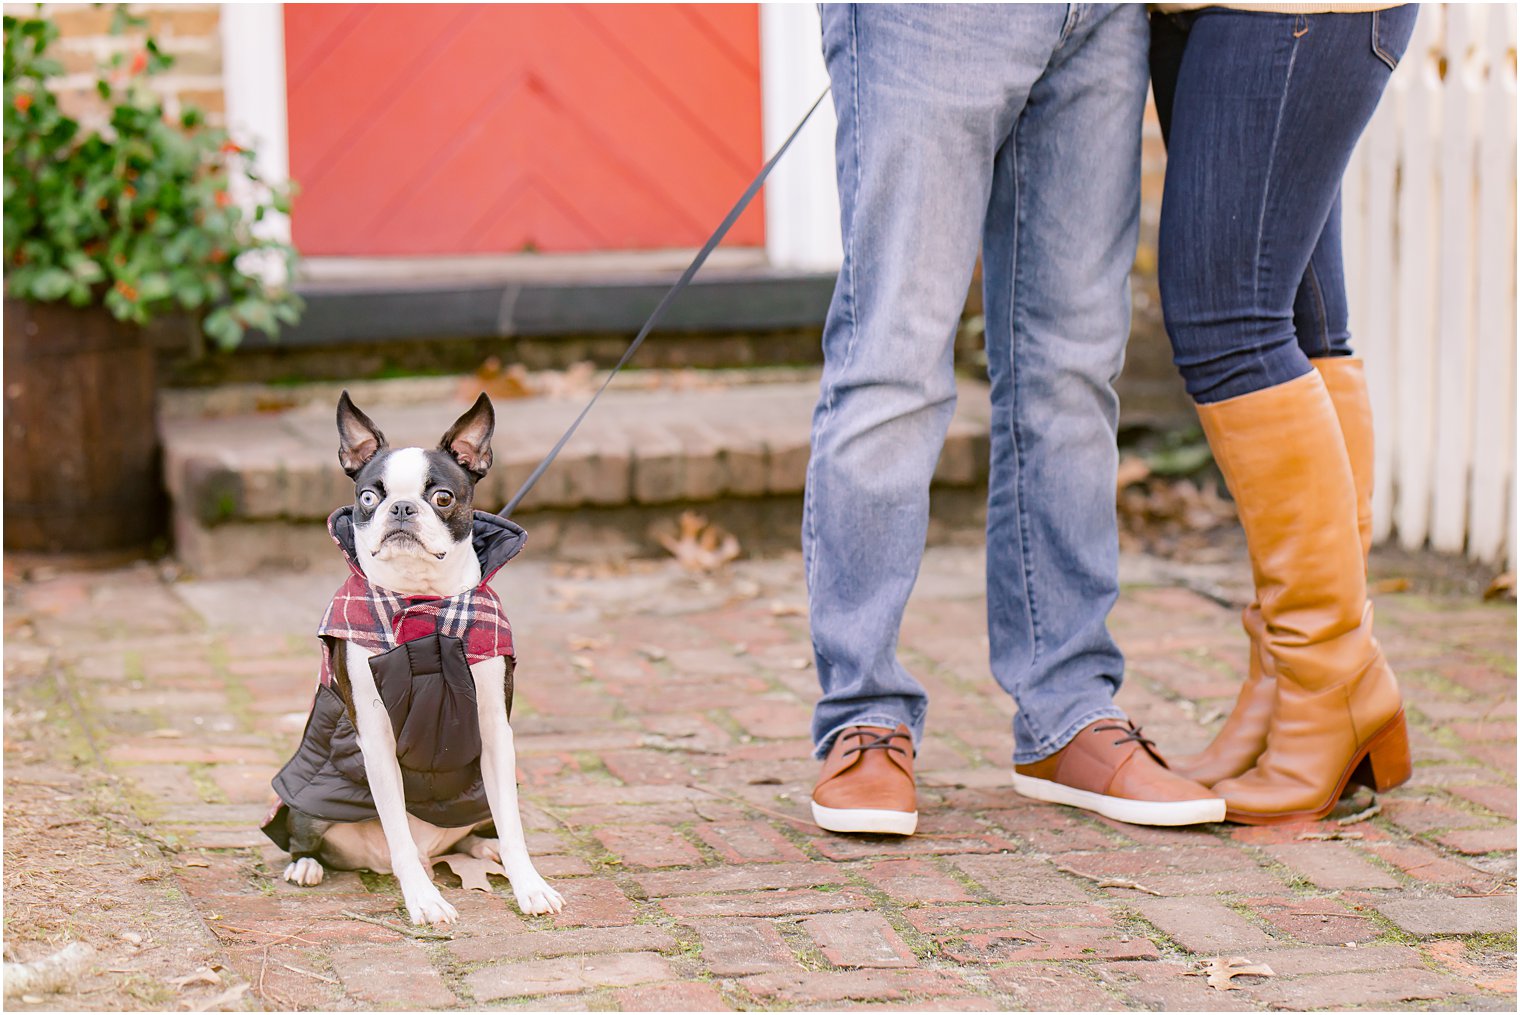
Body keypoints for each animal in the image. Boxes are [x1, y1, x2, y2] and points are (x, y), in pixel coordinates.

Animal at [258, 392, 562, 929]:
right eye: (367, 498)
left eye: (441, 497)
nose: (401, 507)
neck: (424, 605)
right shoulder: (375, 737)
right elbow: (396, 825)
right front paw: (423, 899)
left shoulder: (494, 730)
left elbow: (513, 825)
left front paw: (530, 886)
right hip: (308, 808)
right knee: (306, 838)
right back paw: (306, 866)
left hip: (476, 797)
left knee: (477, 832)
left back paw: (486, 851)